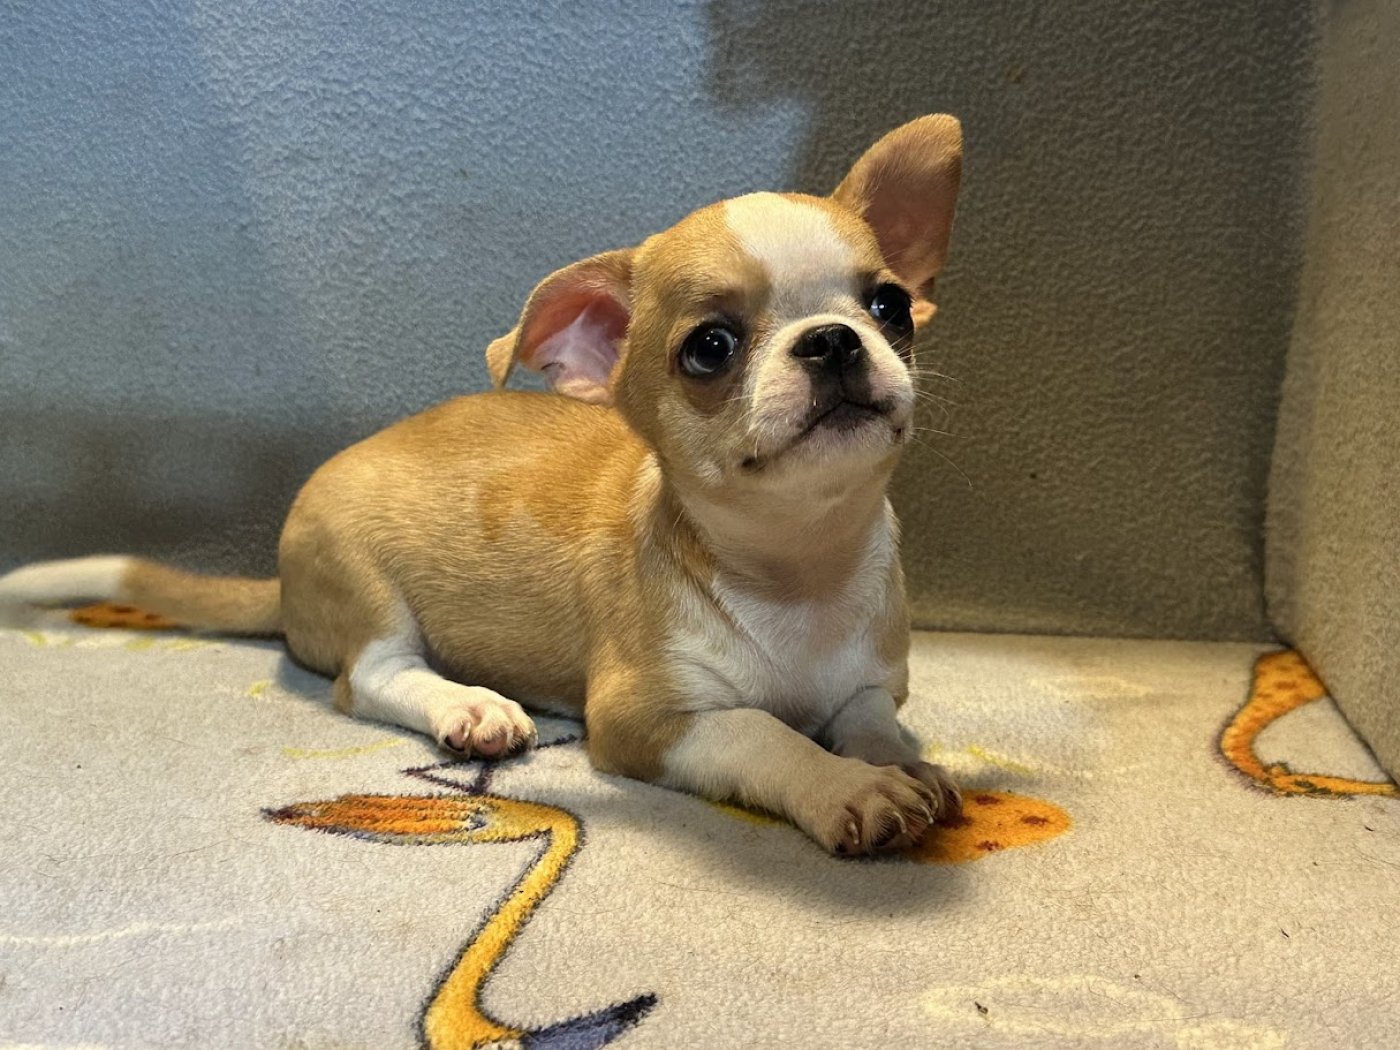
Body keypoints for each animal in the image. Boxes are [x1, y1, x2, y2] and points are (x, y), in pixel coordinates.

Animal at [1, 115, 964, 855]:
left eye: (889, 306)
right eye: (710, 348)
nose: (833, 338)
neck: (798, 569)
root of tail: (280, 582)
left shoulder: (870, 683)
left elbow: (872, 721)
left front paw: (904, 765)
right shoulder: (650, 720)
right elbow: (762, 733)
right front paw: (847, 789)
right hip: (366, 587)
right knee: (370, 675)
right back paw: (468, 704)